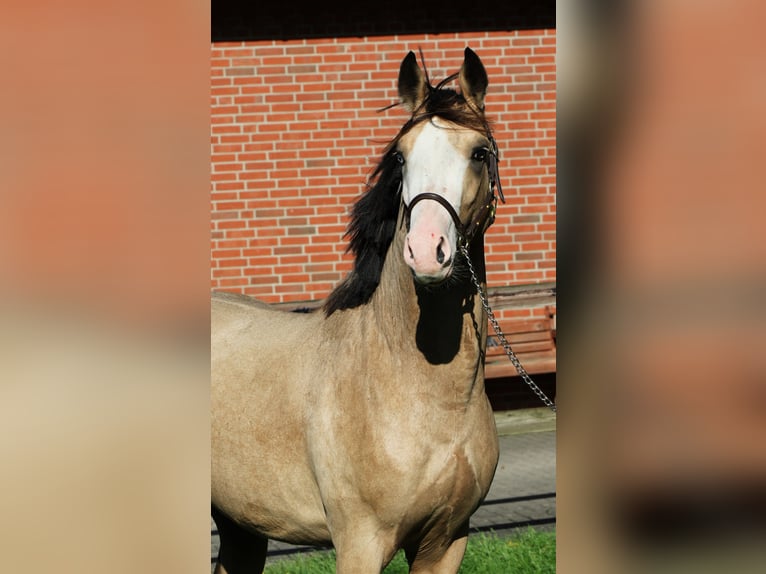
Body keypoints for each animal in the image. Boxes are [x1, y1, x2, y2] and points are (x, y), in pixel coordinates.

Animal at [213, 47, 508, 572]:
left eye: (479, 153)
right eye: (400, 156)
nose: (425, 249)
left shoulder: (445, 542)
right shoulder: (360, 542)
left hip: (239, 524)